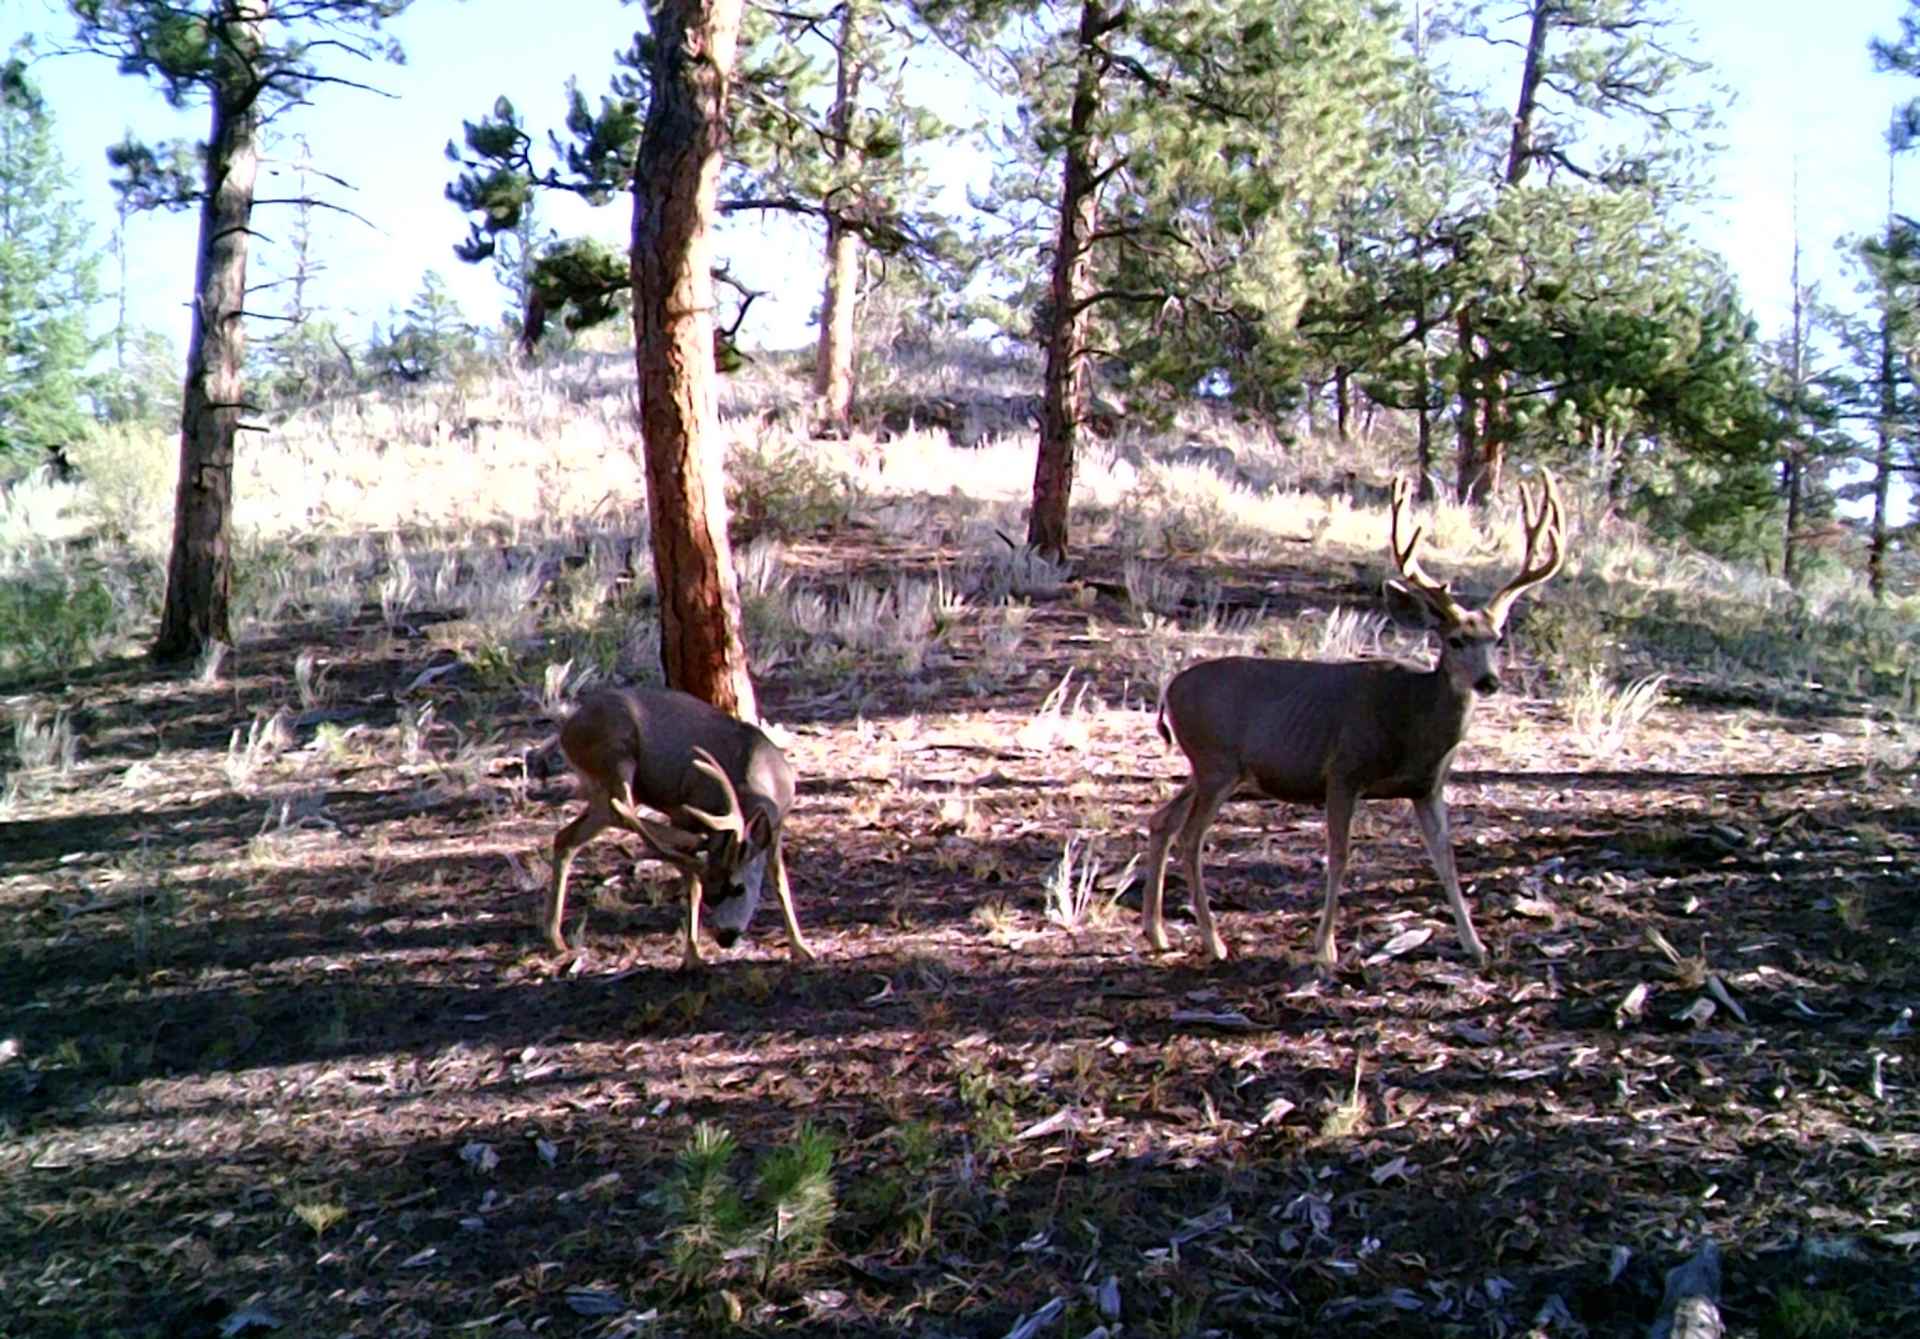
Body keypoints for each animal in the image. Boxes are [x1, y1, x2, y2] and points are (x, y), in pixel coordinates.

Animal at [547, 686, 815, 969]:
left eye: (738, 888)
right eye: (712, 896)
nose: (724, 937)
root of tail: (566, 732)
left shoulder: (777, 826)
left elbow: (780, 882)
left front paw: (801, 948)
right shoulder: (685, 811)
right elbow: (693, 885)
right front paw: (692, 955)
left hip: (601, 785)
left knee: (568, 836)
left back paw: (555, 941)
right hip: (616, 751)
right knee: (620, 808)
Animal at [1140, 473, 1565, 969]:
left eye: (1496, 638)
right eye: (1455, 640)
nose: (1488, 681)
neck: (1412, 719)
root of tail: (1169, 691)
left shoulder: (1427, 787)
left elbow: (1445, 858)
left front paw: (1474, 944)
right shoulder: (1343, 771)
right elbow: (1340, 855)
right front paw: (1325, 948)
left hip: (1207, 767)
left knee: (1162, 820)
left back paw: (1157, 933)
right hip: (1216, 763)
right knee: (1190, 837)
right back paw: (1214, 942)